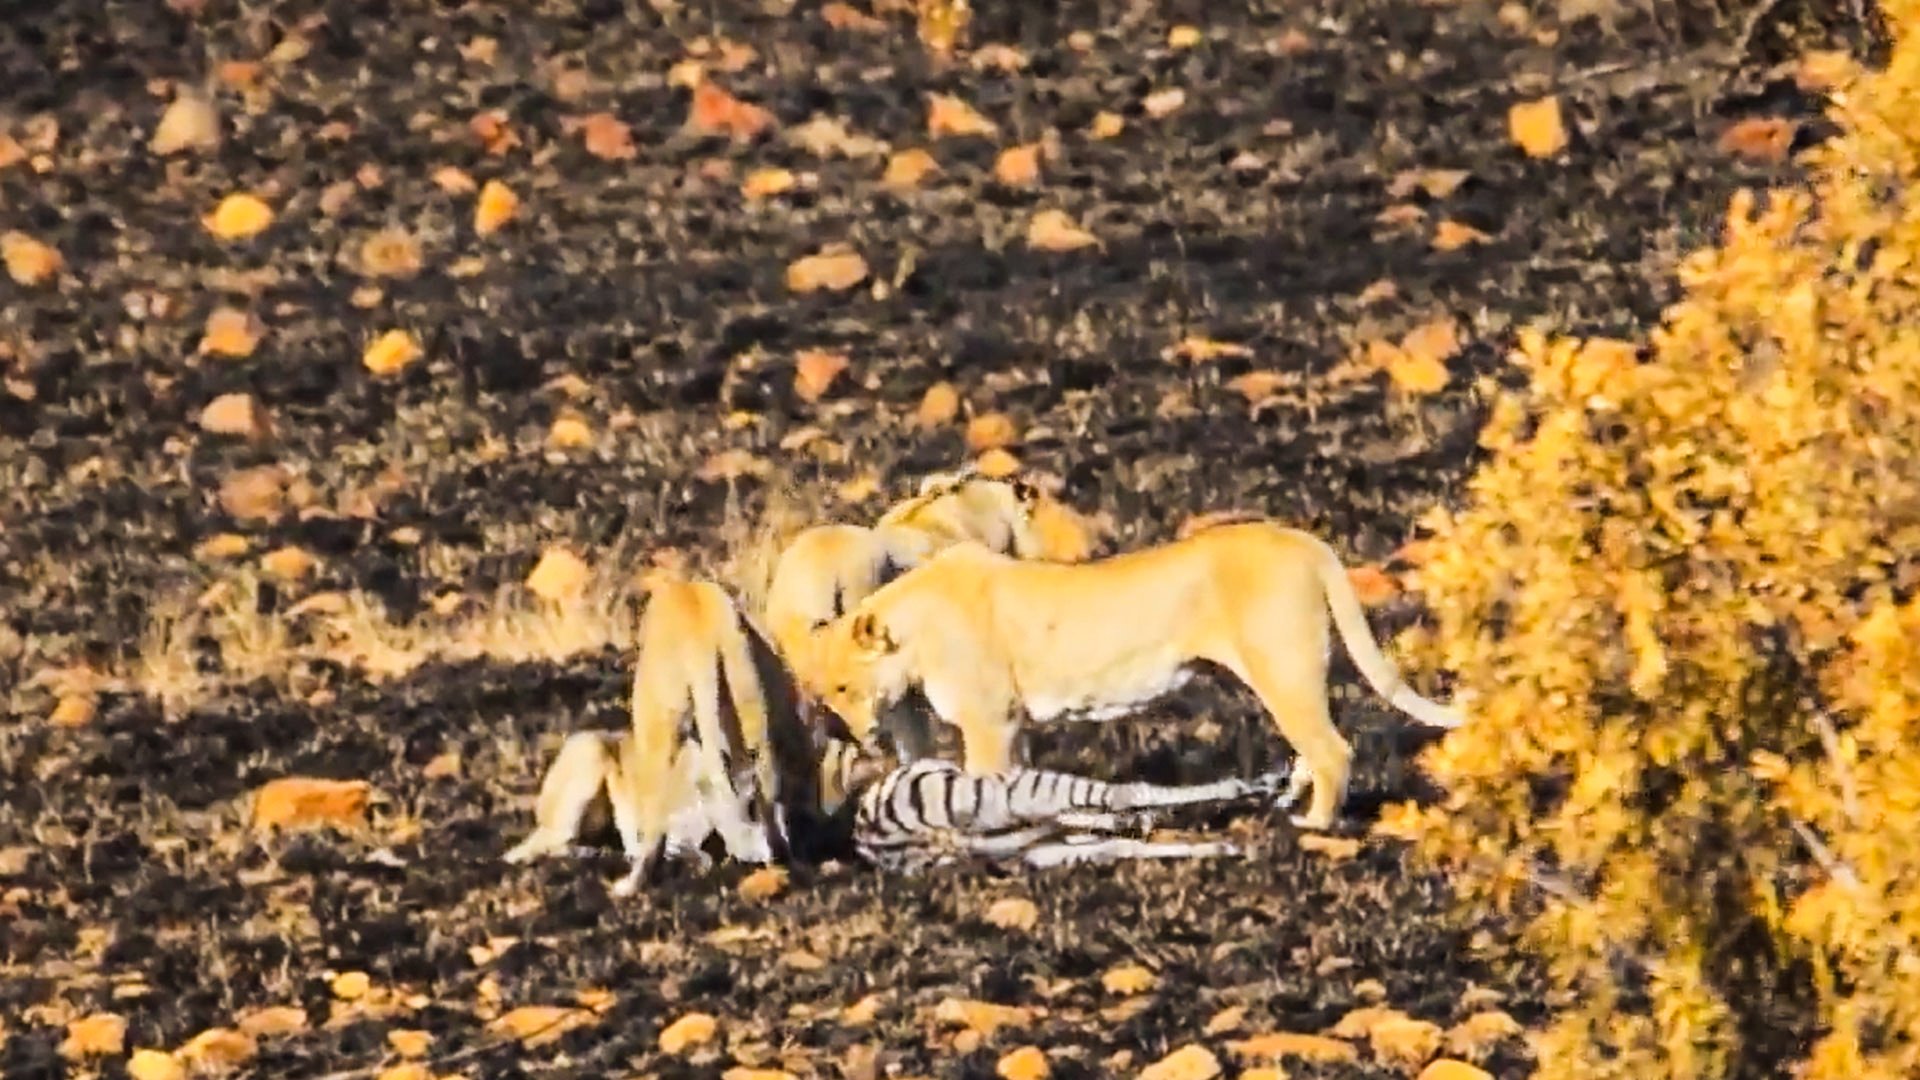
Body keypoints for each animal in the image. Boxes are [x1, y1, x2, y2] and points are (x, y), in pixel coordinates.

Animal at [801, 519, 1466, 832]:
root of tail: (1304, 540)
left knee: (1332, 749)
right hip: (1293, 672)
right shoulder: (1014, 723)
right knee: (1314, 743)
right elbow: (1021, 784)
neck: (913, 626)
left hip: (1281, 664)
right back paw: (1284, 800)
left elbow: (985, 785)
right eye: (823, 693)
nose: (852, 735)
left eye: (844, 688)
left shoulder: (990, 721)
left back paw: (1315, 823)